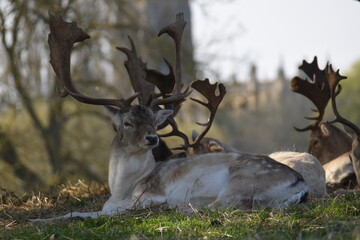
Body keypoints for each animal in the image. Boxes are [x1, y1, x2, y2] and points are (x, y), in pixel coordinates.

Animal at [30, 12, 310, 220]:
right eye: (127, 123)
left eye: (154, 123)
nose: (152, 139)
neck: (123, 188)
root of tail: (301, 184)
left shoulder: (147, 196)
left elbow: (90, 213)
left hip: (240, 184)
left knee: (217, 206)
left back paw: (183, 206)